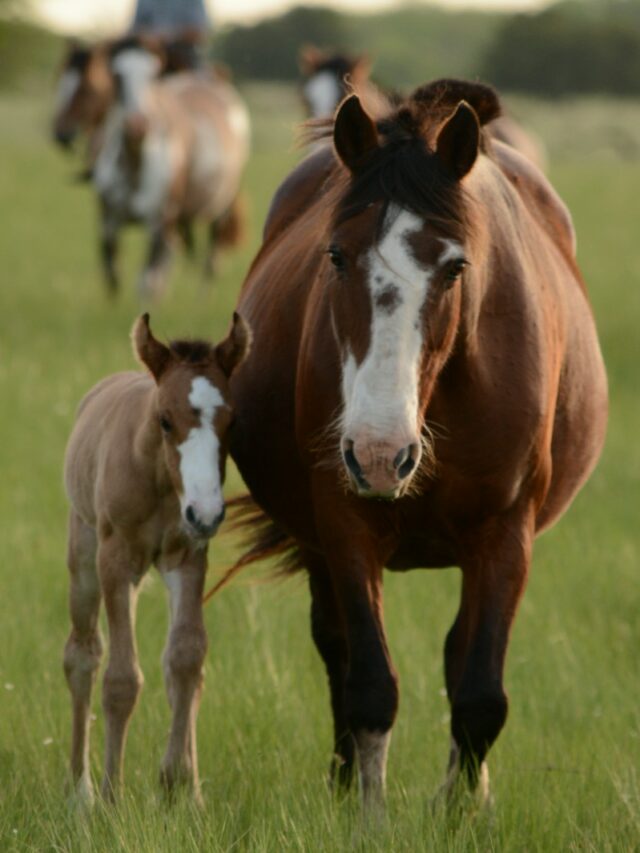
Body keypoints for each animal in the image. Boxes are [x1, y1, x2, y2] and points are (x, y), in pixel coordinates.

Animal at [62, 310, 251, 804]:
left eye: (232, 421)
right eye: (165, 420)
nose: (206, 512)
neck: (161, 481)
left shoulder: (188, 557)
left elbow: (185, 658)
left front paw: (181, 787)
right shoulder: (115, 562)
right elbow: (121, 678)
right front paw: (111, 796)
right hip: (84, 557)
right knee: (82, 655)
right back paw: (80, 789)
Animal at [228, 80, 608, 812]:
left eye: (455, 266)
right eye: (335, 255)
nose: (382, 454)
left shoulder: (506, 533)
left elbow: (480, 694)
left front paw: (460, 813)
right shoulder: (344, 524)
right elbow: (370, 683)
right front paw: (366, 813)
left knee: (460, 659)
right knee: (337, 649)